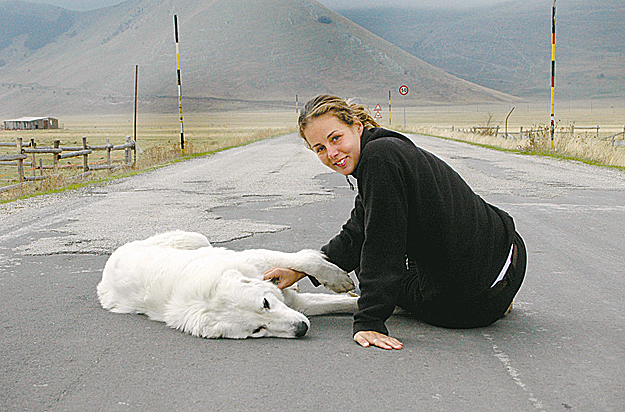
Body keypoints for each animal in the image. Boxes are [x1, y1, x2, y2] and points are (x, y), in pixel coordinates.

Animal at [95, 230, 358, 340]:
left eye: (265, 303)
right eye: (257, 330)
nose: (301, 329)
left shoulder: (257, 261)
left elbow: (304, 260)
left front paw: (337, 279)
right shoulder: (299, 307)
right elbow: (337, 303)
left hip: (196, 238)